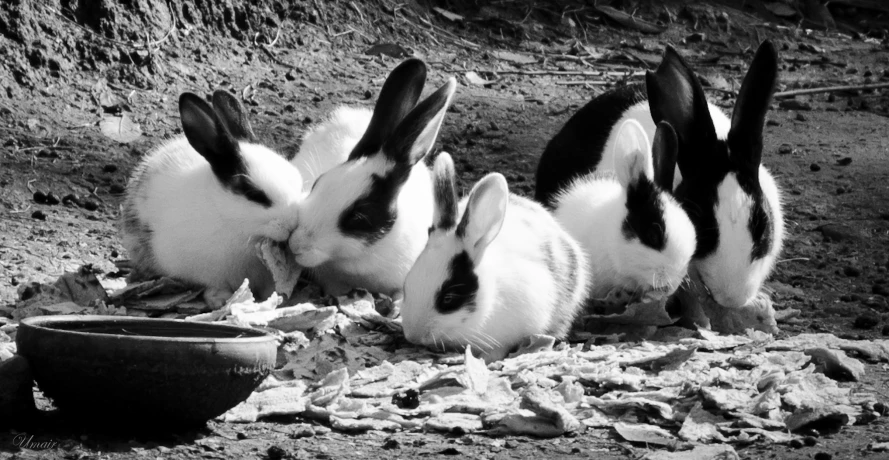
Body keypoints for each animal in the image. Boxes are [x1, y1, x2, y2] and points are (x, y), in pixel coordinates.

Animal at [121, 89, 304, 306]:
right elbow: (213, 285)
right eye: (253, 194)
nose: (292, 224)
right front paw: (220, 299)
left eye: (298, 180)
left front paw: (275, 296)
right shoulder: (206, 271)